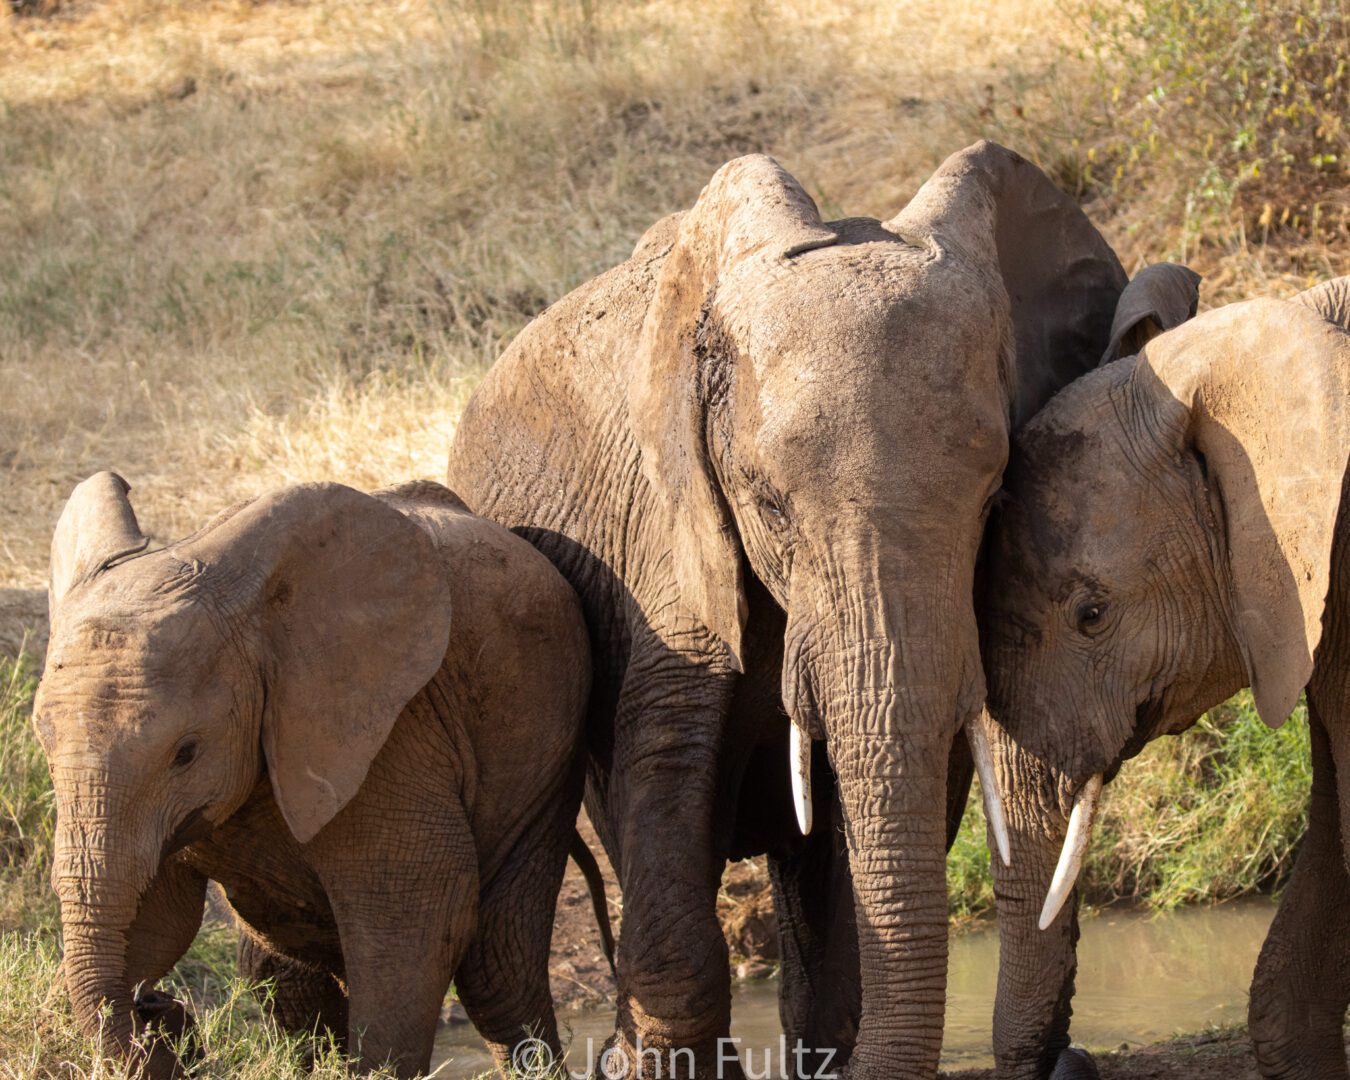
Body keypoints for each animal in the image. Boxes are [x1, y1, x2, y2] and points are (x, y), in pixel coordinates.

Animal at [31, 472, 588, 1080]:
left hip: (543, 757)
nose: (158, 1007)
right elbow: (157, 920)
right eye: (45, 747)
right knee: (282, 970)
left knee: (496, 970)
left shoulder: (392, 730)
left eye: (186, 753)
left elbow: (415, 917)